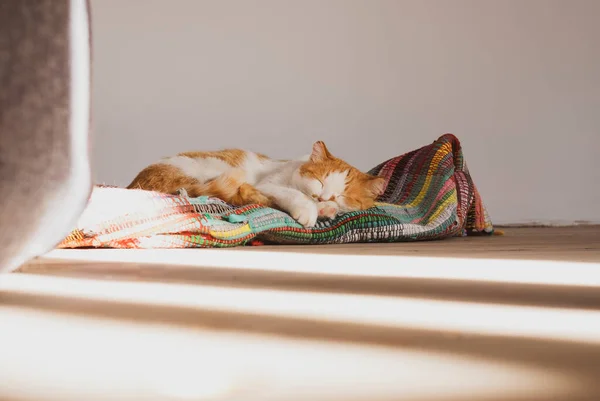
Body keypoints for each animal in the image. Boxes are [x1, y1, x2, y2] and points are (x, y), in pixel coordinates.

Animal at [129, 141, 386, 227]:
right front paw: (310, 209)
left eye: (342, 195)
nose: (323, 198)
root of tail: (135, 185)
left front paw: (326, 208)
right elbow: (296, 196)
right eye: (320, 181)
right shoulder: (269, 184)